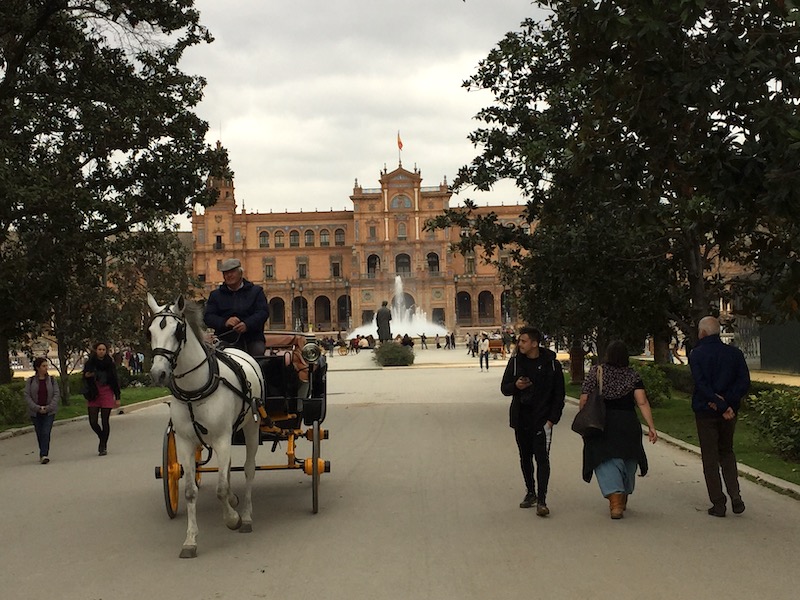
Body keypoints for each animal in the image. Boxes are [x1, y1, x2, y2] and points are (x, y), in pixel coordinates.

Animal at [147, 292, 262, 560]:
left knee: (249, 468)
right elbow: (190, 491)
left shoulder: (222, 438)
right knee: (228, 468)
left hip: (250, 429)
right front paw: (190, 540)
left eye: (178, 331)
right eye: (149, 332)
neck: (194, 388)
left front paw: (232, 519)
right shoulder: (184, 442)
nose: (158, 374)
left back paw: (246, 516)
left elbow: (220, 488)